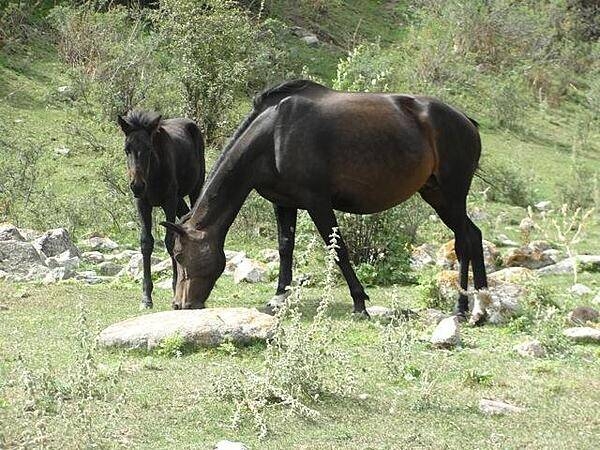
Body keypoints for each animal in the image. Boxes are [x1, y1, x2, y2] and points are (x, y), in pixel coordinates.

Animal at [117, 110, 206, 312]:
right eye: (127, 149)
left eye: (149, 148)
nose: (137, 185)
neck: (154, 173)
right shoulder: (142, 203)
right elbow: (146, 242)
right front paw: (146, 297)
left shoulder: (169, 201)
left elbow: (170, 241)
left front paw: (175, 289)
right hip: (179, 198)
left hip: (194, 188)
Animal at [162, 81, 490, 326]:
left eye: (179, 255)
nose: (180, 304)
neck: (274, 134)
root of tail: (467, 122)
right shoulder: (283, 203)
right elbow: (285, 247)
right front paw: (279, 297)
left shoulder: (318, 203)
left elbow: (339, 250)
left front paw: (360, 303)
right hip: (437, 196)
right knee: (473, 237)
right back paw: (479, 307)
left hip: (452, 196)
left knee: (465, 240)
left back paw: (465, 307)